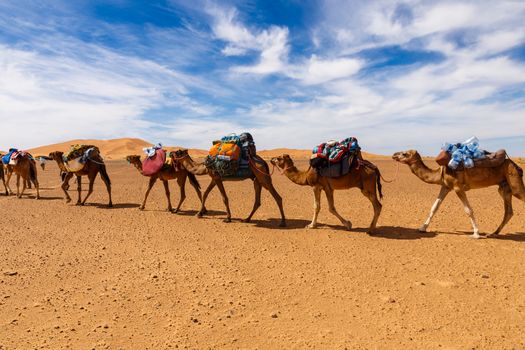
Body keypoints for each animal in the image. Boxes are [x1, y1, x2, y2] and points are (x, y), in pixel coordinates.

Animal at [390, 149, 520, 239]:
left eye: (405, 154)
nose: (394, 155)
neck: (441, 171)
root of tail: (514, 163)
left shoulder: (458, 187)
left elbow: (468, 210)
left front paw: (476, 234)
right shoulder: (446, 186)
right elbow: (434, 207)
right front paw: (422, 228)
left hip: (514, 182)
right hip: (504, 187)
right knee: (508, 211)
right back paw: (494, 233)